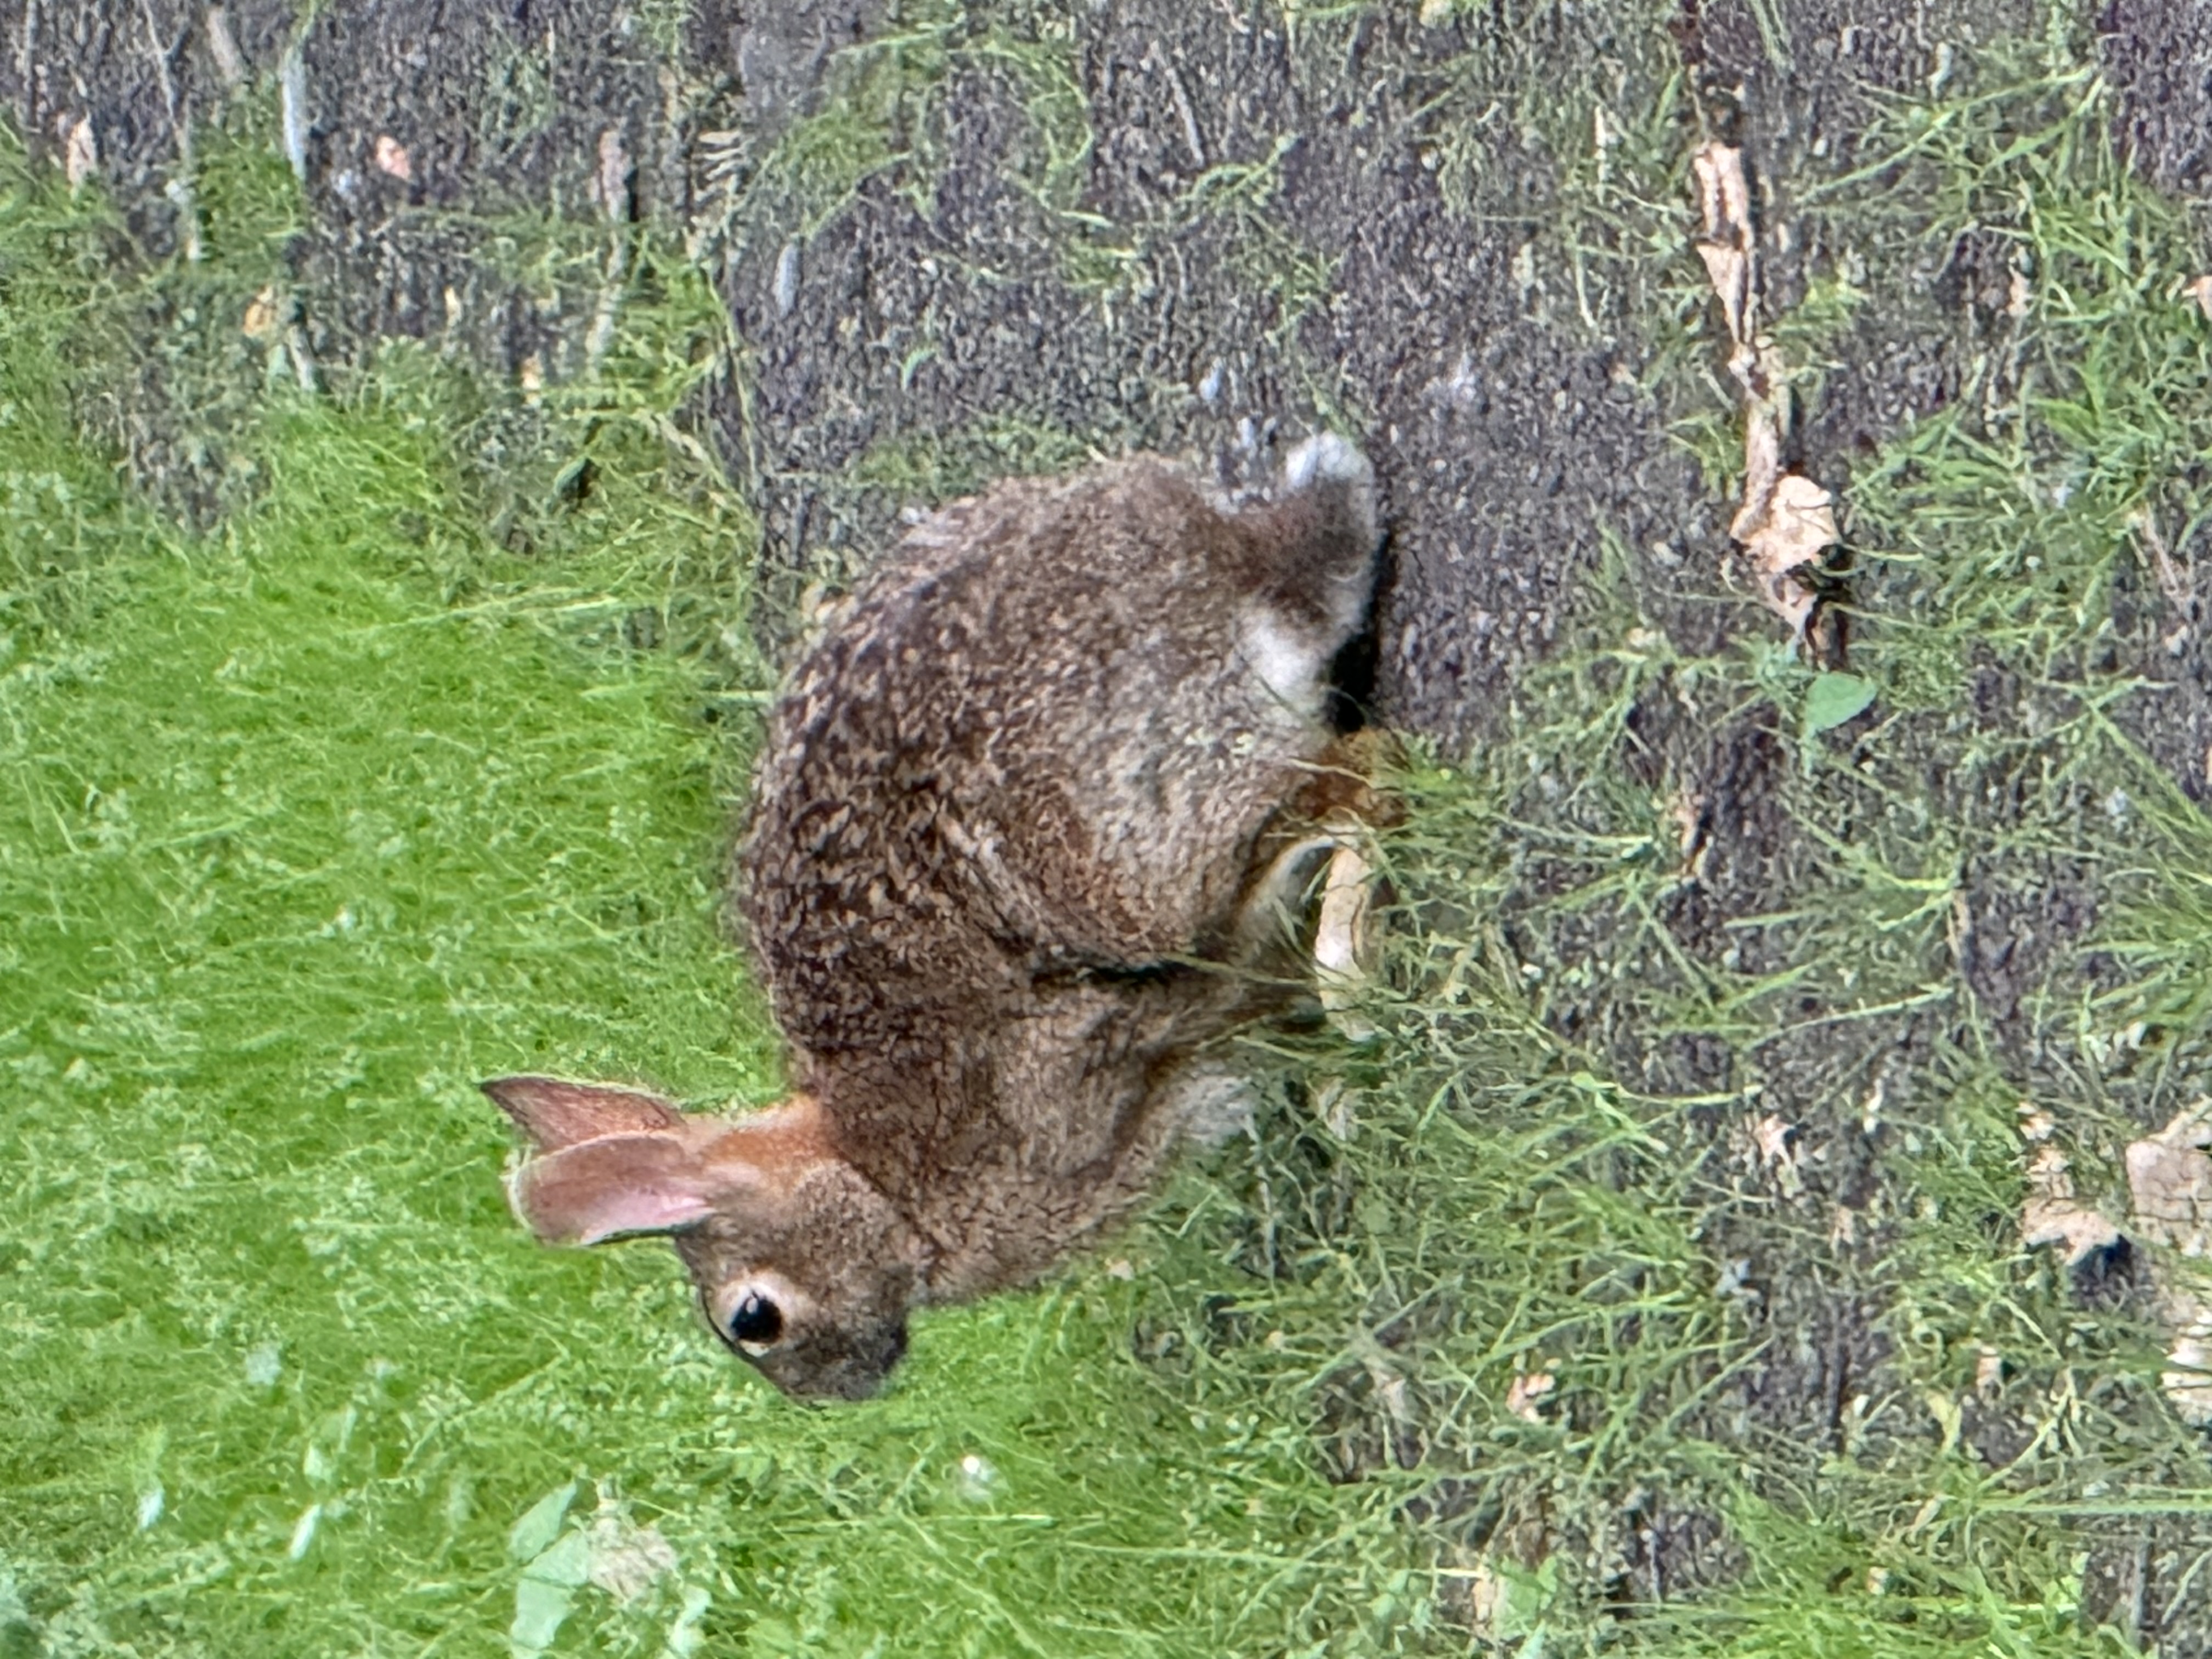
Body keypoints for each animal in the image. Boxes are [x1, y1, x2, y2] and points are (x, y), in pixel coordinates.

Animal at [485, 433, 1386, 1400]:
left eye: (753, 1319)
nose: (837, 1394)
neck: (879, 1188)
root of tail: (1224, 555)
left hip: (1139, 864)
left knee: (1355, 775)